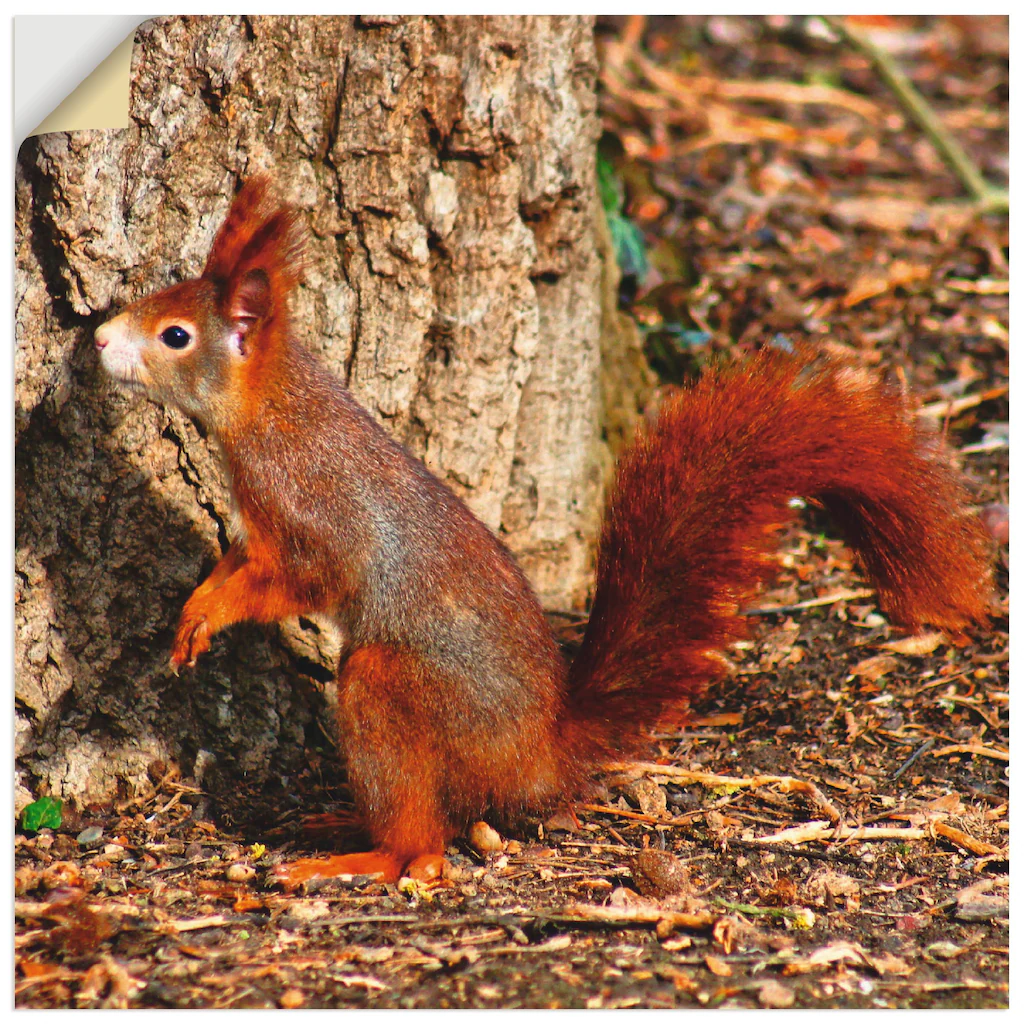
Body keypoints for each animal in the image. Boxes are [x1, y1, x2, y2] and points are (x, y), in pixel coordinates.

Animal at [96, 176, 991, 888]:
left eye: (175, 335)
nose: (100, 337)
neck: (271, 411)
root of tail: (542, 752)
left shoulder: (316, 518)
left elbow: (293, 581)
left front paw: (211, 616)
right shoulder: (256, 528)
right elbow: (235, 563)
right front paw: (194, 608)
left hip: (394, 689)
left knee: (425, 843)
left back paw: (366, 856)